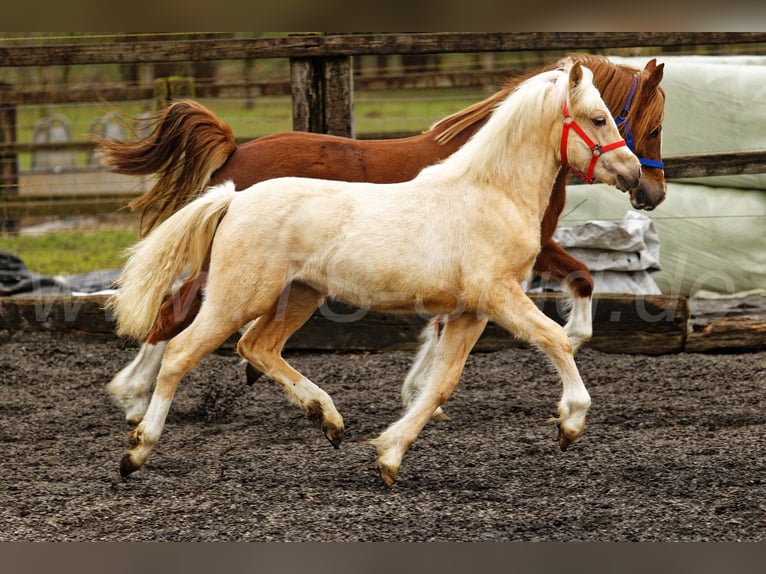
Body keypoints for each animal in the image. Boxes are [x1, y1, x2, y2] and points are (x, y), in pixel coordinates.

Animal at [111, 62, 644, 486]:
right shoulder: (497, 294)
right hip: (237, 297)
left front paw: (389, 456)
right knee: (180, 350)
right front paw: (570, 423)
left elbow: (440, 384)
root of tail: (234, 197)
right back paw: (137, 448)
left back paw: (327, 418)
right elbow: (555, 339)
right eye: (599, 118)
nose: (634, 173)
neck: (491, 193)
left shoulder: (470, 312)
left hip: (297, 296)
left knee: (256, 347)